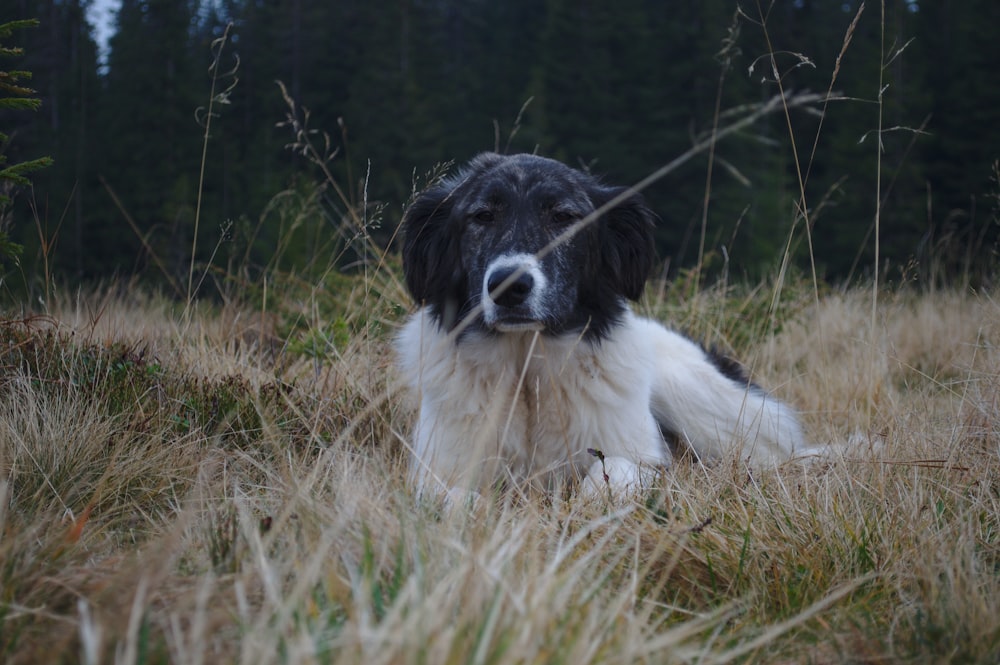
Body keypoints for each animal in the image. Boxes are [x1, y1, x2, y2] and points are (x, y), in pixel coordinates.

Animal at [396, 153, 804, 496]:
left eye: (563, 216)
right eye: (482, 216)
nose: (508, 286)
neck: (527, 371)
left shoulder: (645, 458)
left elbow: (607, 477)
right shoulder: (438, 468)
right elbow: (453, 499)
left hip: (694, 393)